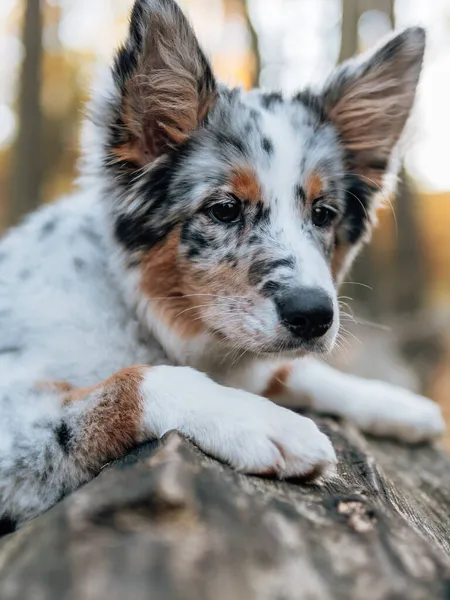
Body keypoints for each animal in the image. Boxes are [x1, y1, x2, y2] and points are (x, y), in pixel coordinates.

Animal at [0, 0, 442, 528]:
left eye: (323, 213)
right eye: (225, 209)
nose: (314, 317)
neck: (138, 310)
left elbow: (289, 370)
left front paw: (394, 403)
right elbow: (139, 378)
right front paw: (261, 421)